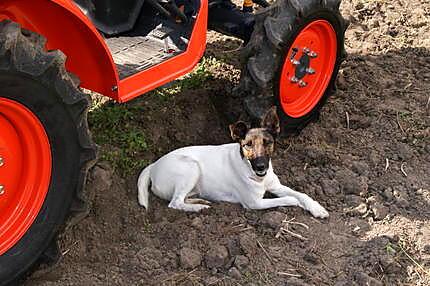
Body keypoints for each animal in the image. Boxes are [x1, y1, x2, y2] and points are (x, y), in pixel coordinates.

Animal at [138, 106, 330, 218]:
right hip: (190, 167)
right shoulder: (254, 203)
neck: (256, 175)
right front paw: (295, 202)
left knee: (181, 198)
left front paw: (317, 208)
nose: (261, 166)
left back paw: (200, 201)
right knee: (175, 203)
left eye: (268, 142)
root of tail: (153, 165)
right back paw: (197, 208)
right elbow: (288, 199)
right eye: (248, 145)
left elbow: (302, 194)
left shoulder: (276, 186)